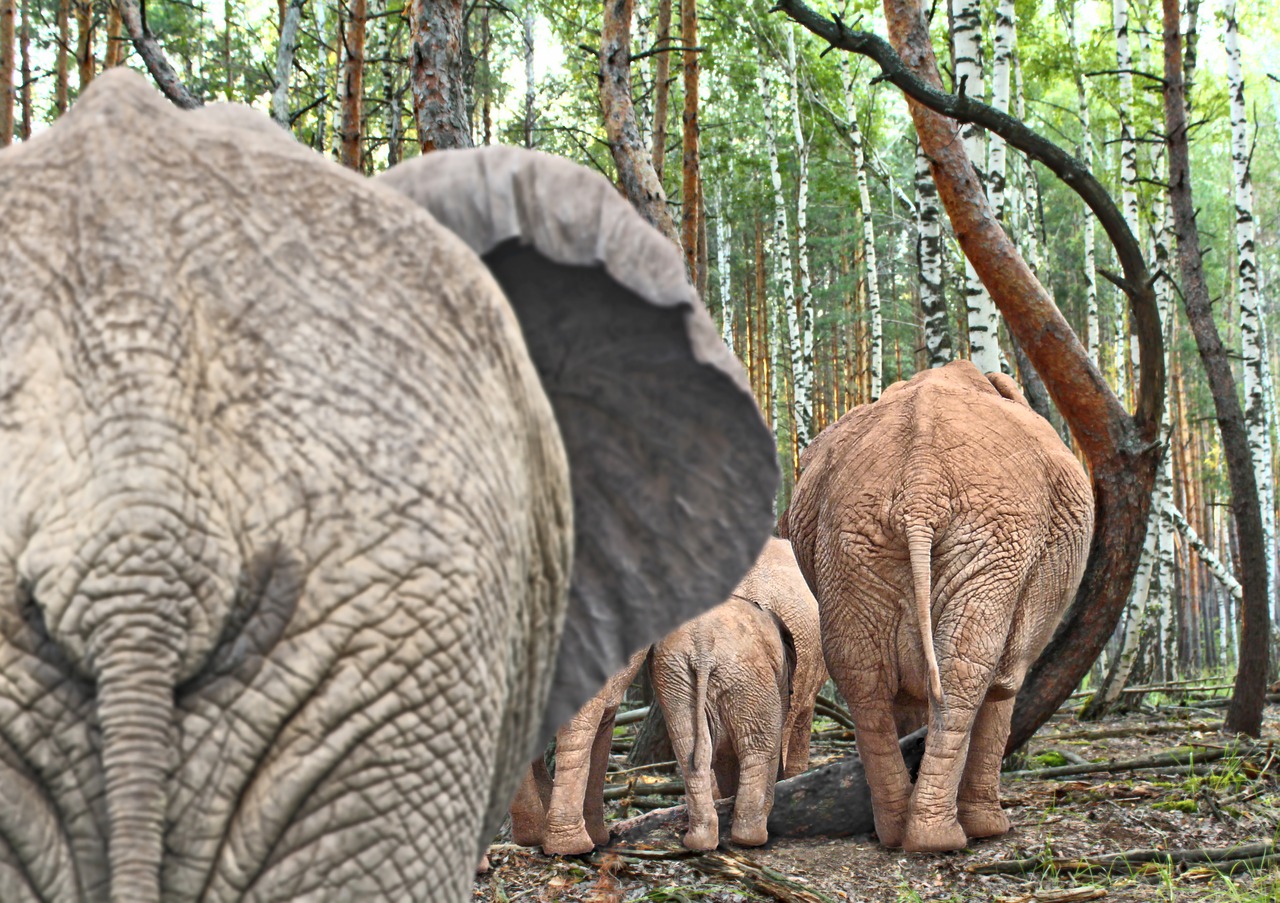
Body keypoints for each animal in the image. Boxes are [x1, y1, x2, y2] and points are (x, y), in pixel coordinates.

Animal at [655, 537, 824, 850]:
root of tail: (703, 649)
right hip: (748, 671)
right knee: (762, 744)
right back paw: (753, 836)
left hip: (678, 675)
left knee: (690, 748)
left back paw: (700, 840)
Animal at [783, 358, 1095, 850]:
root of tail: (919, 486)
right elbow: (1003, 683)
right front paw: (991, 828)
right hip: (997, 538)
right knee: (966, 667)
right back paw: (942, 838)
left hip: (849, 538)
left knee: (861, 670)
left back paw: (897, 833)